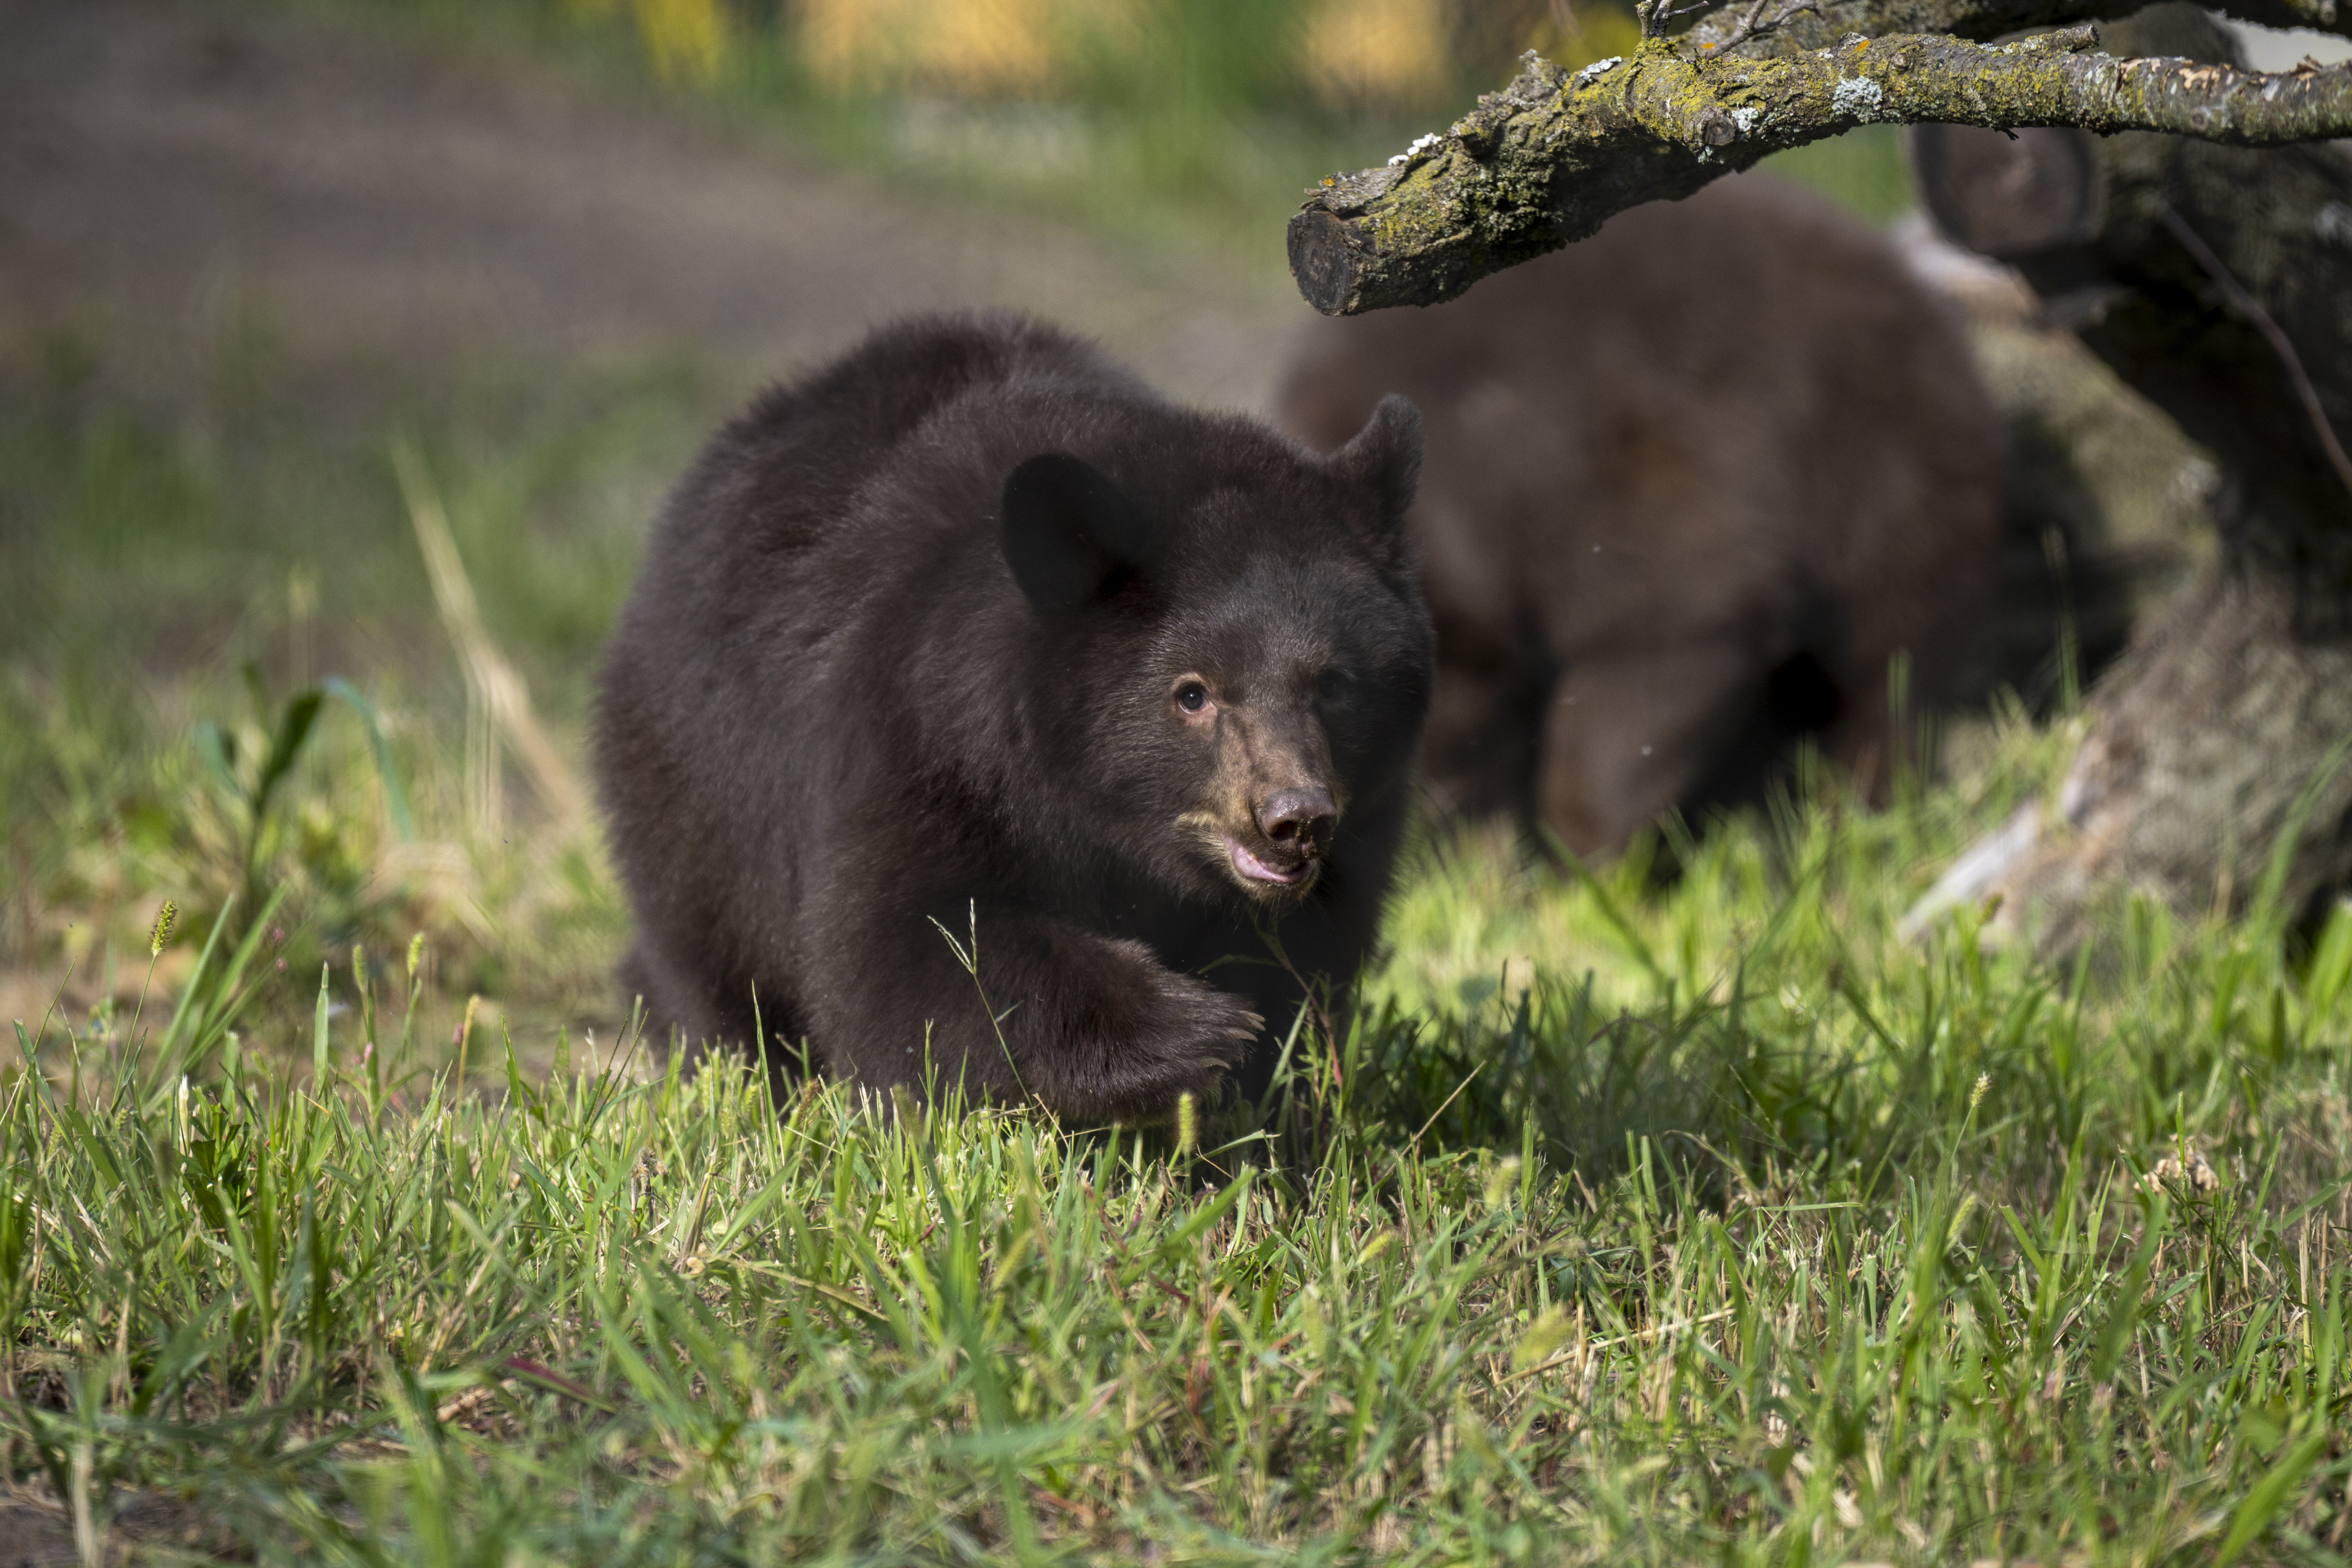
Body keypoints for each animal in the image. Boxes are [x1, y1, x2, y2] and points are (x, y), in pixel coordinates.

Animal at [593, 313, 1431, 1121]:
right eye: (1193, 693)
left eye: (1333, 684)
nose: (1293, 818)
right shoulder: (921, 734)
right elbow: (898, 949)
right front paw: (1193, 1032)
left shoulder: (1363, 830)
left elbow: (1304, 966)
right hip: (696, 796)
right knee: (710, 957)